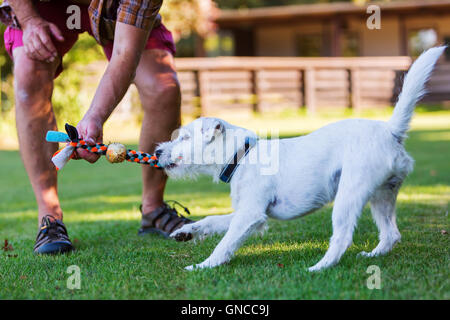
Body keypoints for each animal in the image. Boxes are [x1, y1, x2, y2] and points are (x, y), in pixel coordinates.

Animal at [156, 46, 444, 272]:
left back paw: (319, 267)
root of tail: (390, 131)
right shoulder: (248, 214)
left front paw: (203, 266)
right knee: (391, 234)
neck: (242, 155)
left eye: (184, 137)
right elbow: (211, 221)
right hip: (382, 195)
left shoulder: (250, 215)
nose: (157, 152)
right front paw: (186, 232)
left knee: (342, 237)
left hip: (349, 194)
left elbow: (225, 243)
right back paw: (372, 255)